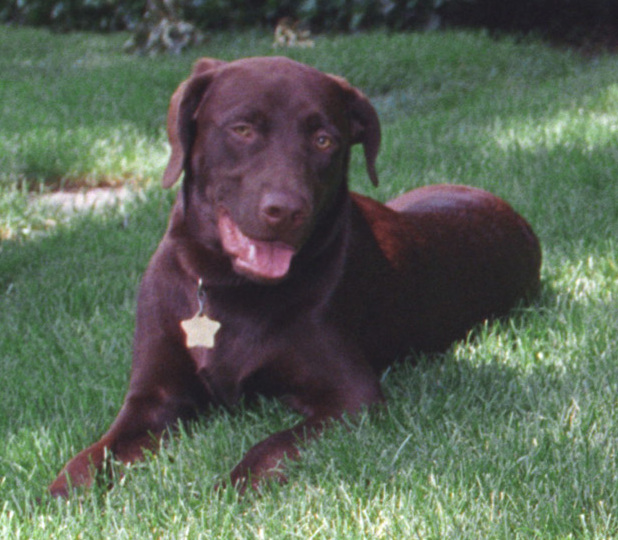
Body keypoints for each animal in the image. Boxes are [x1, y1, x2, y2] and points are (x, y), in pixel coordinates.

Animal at [48, 56, 540, 498]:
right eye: (242, 129)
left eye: (324, 140)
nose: (285, 210)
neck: (229, 290)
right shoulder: (152, 397)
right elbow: (95, 453)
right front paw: (63, 493)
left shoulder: (351, 397)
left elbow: (273, 444)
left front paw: (230, 489)